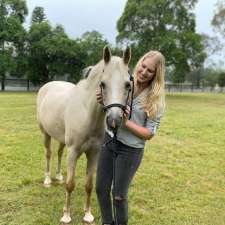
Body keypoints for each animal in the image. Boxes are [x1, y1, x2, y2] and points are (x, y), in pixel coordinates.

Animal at [36, 46, 132, 224]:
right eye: (102, 84)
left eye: (128, 85)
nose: (114, 120)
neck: (88, 113)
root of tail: (47, 86)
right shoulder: (73, 152)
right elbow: (70, 184)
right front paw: (66, 215)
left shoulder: (93, 153)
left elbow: (88, 185)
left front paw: (87, 214)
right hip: (45, 133)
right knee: (49, 154)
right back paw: (47, 180)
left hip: (62, 139)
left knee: (59, 153)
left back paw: (58, 176)